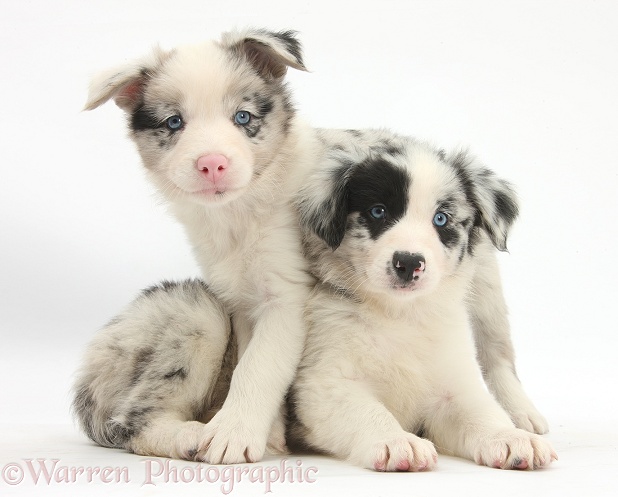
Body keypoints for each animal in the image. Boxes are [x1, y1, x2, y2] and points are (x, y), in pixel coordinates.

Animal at [290, 130, 560, 470]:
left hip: (488, 292)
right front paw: (395, 440)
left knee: (499, 357)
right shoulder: (322, 384)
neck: (400, 314)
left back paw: (523, 415)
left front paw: (508, 437)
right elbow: (367, 411)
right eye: (378, 211)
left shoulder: (452, 385)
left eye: (441, 219)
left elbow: (481, 412)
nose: (408, 262)